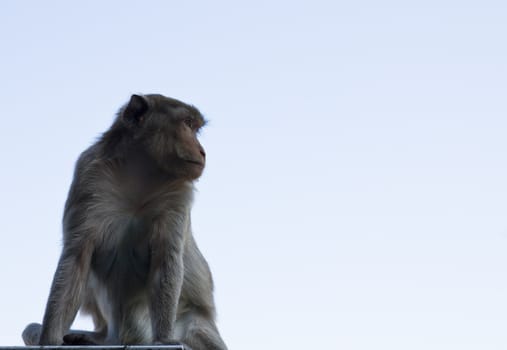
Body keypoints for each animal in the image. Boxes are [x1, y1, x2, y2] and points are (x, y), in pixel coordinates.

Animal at [22, 93, 228, 350]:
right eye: (187, 124)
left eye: (194, 126)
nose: (202, 151)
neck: (141, 174)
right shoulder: (89, 176)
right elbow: (76, 257)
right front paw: (49, 339)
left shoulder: (178, 195)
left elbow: (166, 257)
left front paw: (163, 338)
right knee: (31, 329)